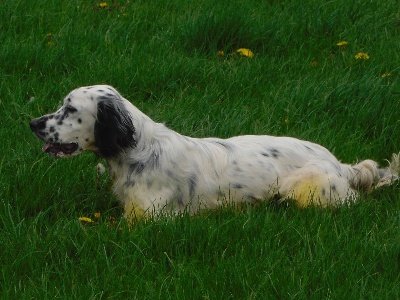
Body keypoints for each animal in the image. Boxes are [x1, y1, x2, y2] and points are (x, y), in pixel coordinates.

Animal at [28, 84, 400, 220]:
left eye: (69, 109)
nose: (32, 123)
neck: (138, 151)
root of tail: (340, 164)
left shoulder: (151, 218)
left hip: (304, 188)